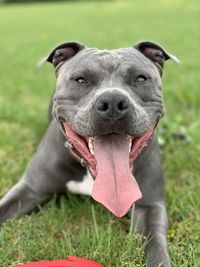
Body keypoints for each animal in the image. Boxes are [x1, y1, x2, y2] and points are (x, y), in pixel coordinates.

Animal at [0, 40, 178, 266]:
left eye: (140, 78)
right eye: (81, 80)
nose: (113, 101)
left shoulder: (150, 205)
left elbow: (156, 246)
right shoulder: (30, 189)